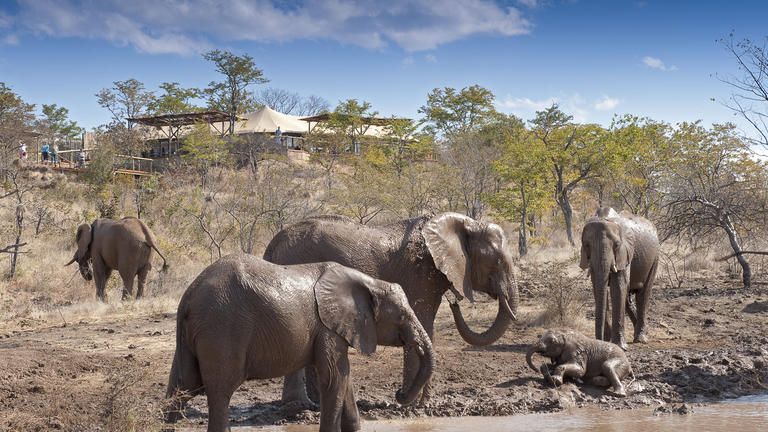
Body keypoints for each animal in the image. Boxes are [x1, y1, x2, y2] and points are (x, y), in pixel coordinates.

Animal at [164, 254, 433, 432]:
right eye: (401, 316)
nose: (398, 394)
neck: (370, 283)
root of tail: (188, 296)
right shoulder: (327, 327)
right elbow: (334, 377)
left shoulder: (329, 329)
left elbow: (344, 377)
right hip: (222, 328)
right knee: (220, 390)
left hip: (195, 335)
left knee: (182, 385)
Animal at [263, 213, 519, 403]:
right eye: (497, 262)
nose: (454, 301)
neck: (464, 223)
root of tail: (271, 245)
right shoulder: (419, 274)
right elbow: (422, 322)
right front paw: (414, 406)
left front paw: (423, 404)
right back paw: (299, 407)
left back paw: (313, 405)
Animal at [579, 207, 659, 350]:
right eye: (586, 245)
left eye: (616, 245)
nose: (598, 340)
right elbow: (598, 286)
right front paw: (606, 342)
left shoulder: (625, 252)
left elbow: (618, 286)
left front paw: (620, 346)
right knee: (628, 299)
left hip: (655, 258)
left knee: (643, 294)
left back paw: (641, 339)